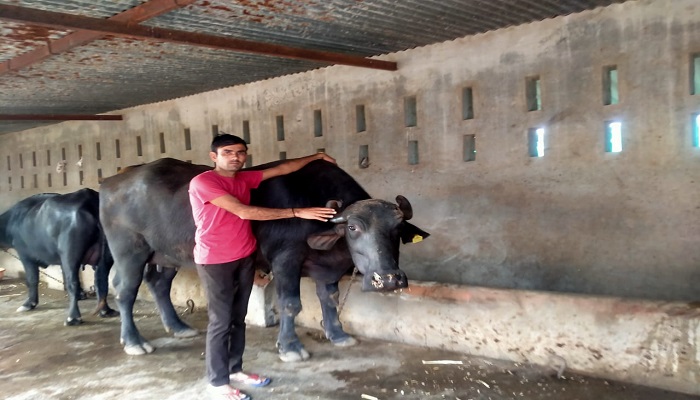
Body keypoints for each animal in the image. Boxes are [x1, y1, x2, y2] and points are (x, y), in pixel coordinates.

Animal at [0, 188, 118, 325]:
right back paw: (105, 311)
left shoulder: (25, 255)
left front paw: (29, 304)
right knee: (101, 281)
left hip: (70, 254)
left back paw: (73, 318)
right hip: (106, 256)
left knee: (73, 282)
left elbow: (32, 280)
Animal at [99, 158, 429, 360]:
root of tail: (112, 181)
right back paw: (135, 342)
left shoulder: (327, 269)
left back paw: (179, 327)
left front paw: (337, 335)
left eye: (397, 229)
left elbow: (330, 300)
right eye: (353, 227)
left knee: (158, 283)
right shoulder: (285, 261)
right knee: (125, 290)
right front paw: (291, 347)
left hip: (168, 254)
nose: (388, 279)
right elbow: (290, 304)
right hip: (130, 251)